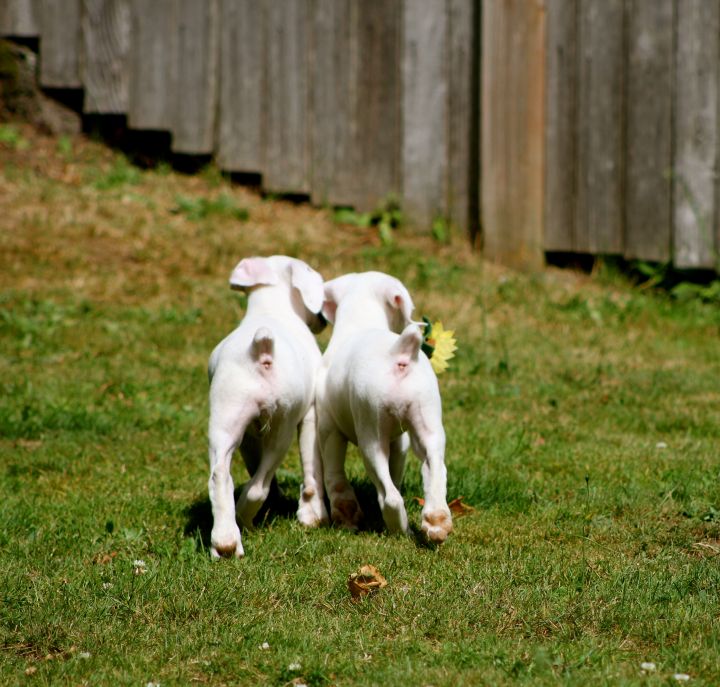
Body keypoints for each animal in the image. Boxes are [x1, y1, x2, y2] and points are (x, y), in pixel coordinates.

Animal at [208, 254, 330, 560]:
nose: (323, 319)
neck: (270, 308)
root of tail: (260, 348)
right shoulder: (310, 414)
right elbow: (311, 468)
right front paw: (312, 515)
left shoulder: (249, 434)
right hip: (282, 427)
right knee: (257, 486)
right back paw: (244, 520)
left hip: (225, 421)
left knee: (220, 477)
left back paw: (225, 542)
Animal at [314, 272, 450, 544]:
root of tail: (399, 353)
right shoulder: (401, 442)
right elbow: (396, 471)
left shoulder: (328, 428)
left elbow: (334, 475)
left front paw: (346, 518)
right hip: (428, 424)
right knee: (434, 470)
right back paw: (436, 523)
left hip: (371, 437)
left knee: (390, 497)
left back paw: (401, 530)